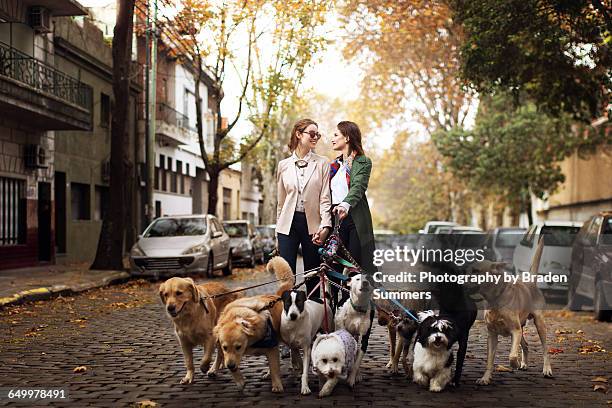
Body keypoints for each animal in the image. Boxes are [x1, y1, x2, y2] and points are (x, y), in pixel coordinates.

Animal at [213, 256, 294, 394]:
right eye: (225, 347)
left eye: (238, 347)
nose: (230, 366)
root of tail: (278, 295)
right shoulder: (227, 354)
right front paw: (239, 381)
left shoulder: (271, 347)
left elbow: (275, 368)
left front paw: (277, 385)